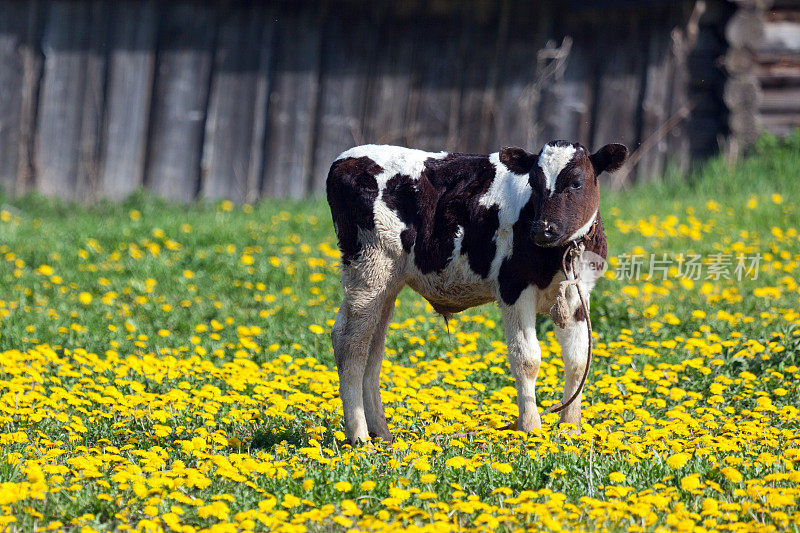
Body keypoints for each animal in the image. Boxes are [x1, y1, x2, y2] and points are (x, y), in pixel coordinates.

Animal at [324, 139, 624, 442]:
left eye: (576, 182)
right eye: (534, 182)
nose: (543, 229)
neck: (561, 253)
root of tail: (346, 158)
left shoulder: (579, 294)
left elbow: (578, 359)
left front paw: (571, 429)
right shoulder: (513, 288)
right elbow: (526, 358)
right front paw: (530, 427)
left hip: (387, 283)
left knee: (372, 347)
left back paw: (381, 432)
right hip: (369, 268)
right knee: (350, 342)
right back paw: (360, 436)